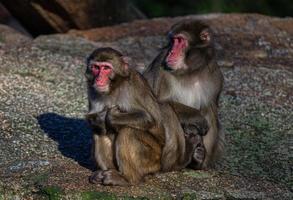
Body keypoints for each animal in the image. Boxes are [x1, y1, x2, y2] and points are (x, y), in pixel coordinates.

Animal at [144, 20, 224, 168]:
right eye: (173, 41)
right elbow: (152, 103)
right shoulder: (160, 68)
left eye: (180, 40)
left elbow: (212, 107)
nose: (171, 52)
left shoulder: (216, 76)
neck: (190, 73)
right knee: (165, 109)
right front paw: (195, 117)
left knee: (209, 109)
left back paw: (198, 160)